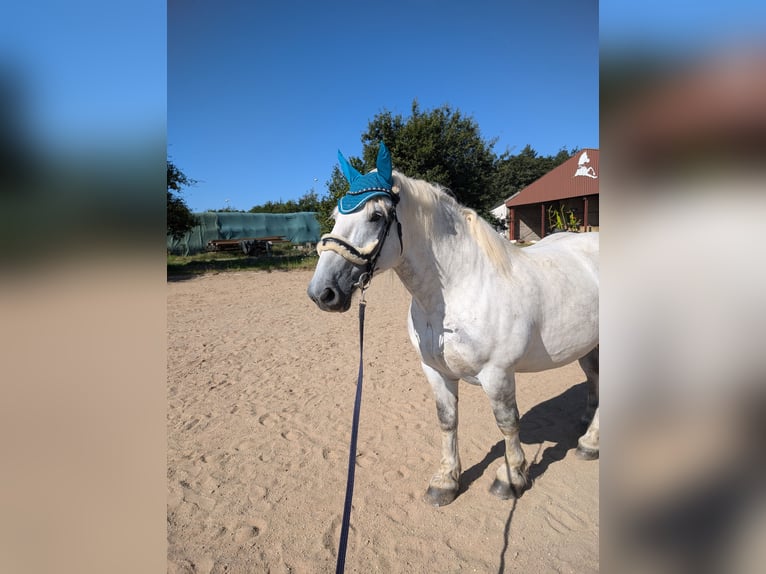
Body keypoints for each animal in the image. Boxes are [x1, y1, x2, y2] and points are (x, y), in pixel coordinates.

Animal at [308, 145, 600, 508]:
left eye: (375, 216)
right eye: (336, 216)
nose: (322, 292)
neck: (459, 291)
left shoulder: (498, 374)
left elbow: (507, 424)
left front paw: (511, 478)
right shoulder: (435, 370)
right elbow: (447, 421)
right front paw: (446, 481)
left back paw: (590, 443)